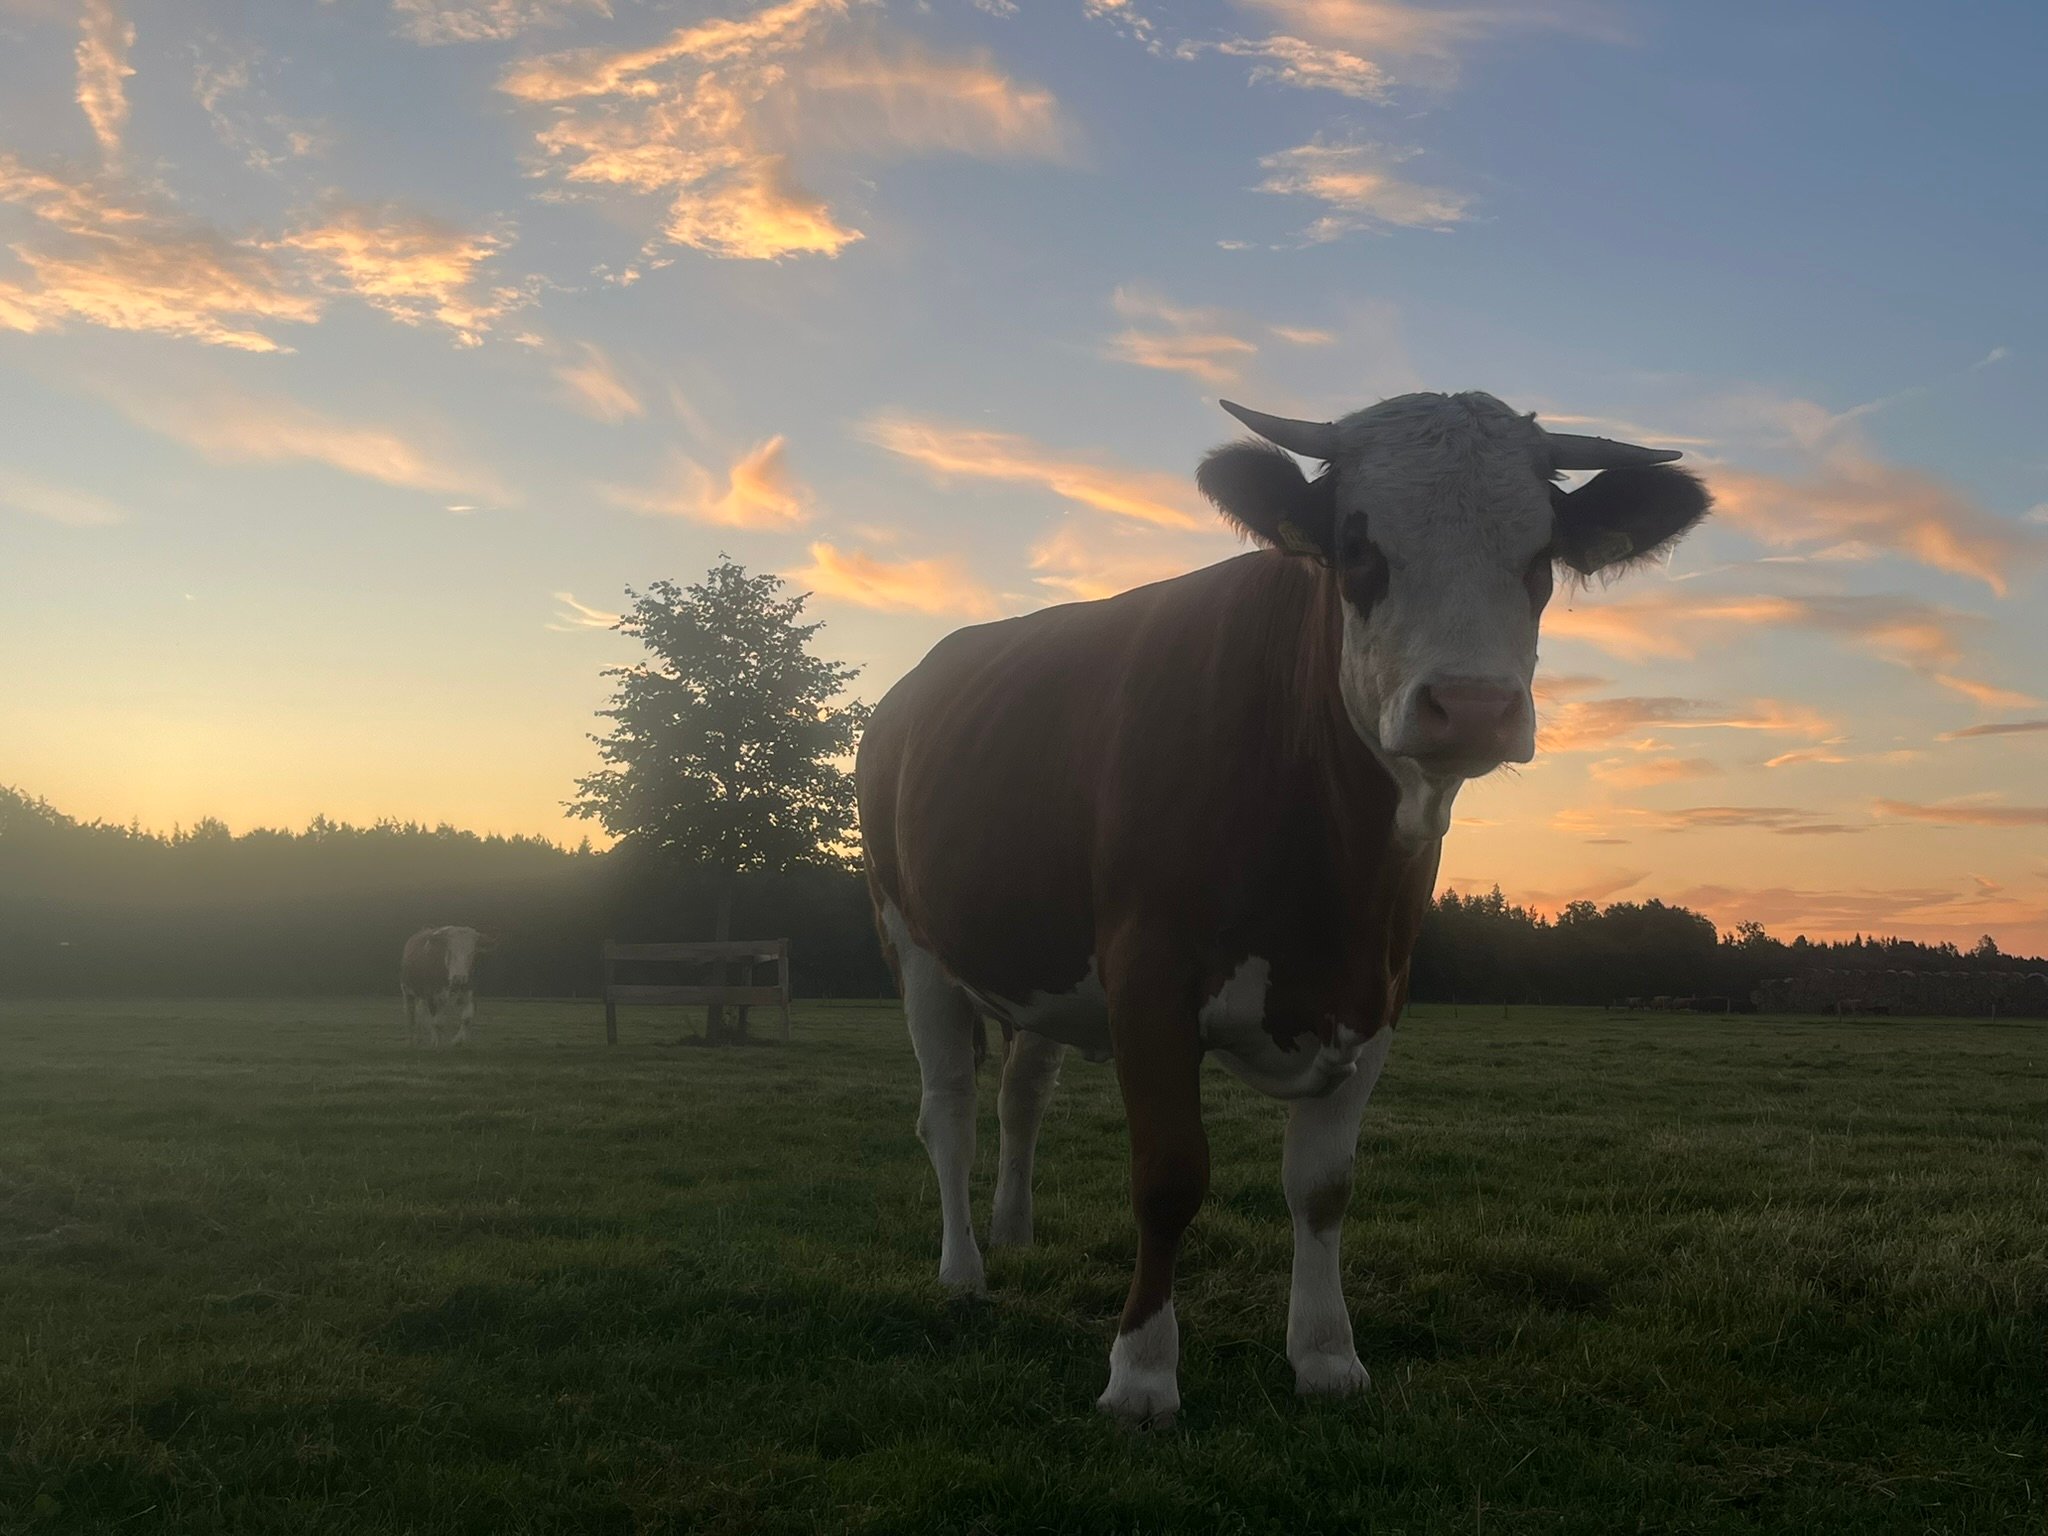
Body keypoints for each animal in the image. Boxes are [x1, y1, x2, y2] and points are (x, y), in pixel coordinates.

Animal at [856, 390, 1709, 1423]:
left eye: (1541, 555)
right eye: (1356, 545)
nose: (1471, 706)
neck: (1329, 877)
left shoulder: (1379, 991)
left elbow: (1323, 1188)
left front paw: (1327, 1355)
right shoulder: (1149, 974)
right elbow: (1169, 1176)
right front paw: (1141, 1373)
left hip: (1039, 963)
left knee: (1023, 1096)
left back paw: (1014, 1231)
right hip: (913, 946)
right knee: (947, 1110)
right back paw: (964, 1271)